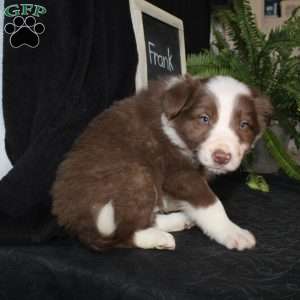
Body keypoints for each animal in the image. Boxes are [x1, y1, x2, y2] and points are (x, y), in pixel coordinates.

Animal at [51, 74, 272, 251]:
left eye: (244, 125)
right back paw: (158, 238)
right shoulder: (178, 172)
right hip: (135, 177)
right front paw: (233, 232)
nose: (222, 157)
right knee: (126, 233)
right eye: (204, 118)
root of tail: (76, 224)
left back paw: (180, 220)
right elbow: (211, 204)